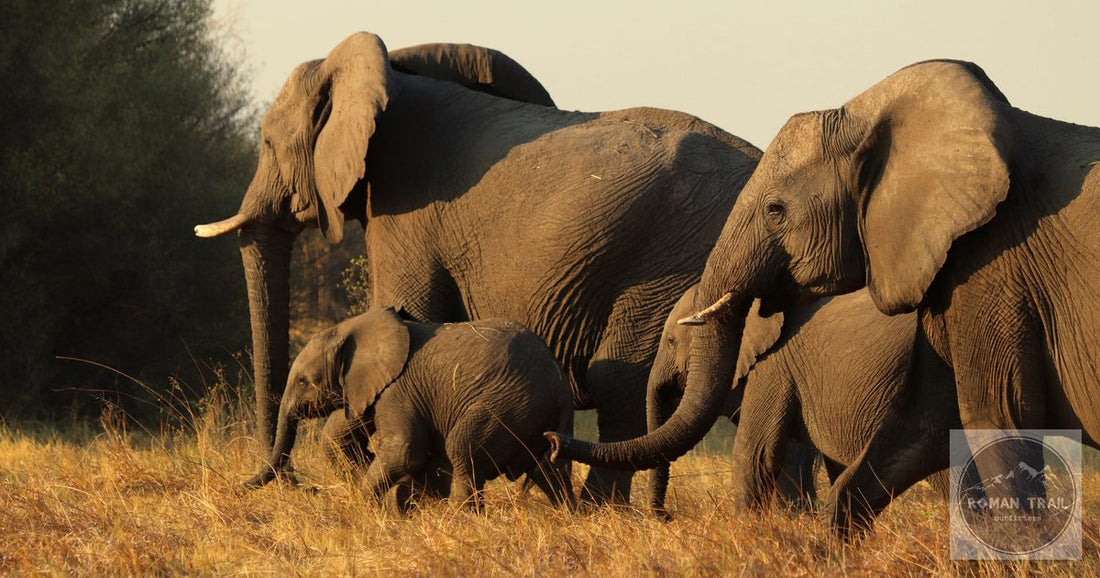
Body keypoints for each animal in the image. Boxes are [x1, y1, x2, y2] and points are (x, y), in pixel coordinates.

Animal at [245, 308, 576, 512]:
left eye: (303, 381)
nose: (241, 487)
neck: (352, 328)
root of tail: (560, 386)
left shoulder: (398, 390)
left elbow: (407, 451)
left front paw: (370, 508)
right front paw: (402, 505)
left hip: (505, 404)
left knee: (463, 449)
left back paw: (460, 518)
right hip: (534, 414)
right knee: (548, 470)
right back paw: (568, 514)